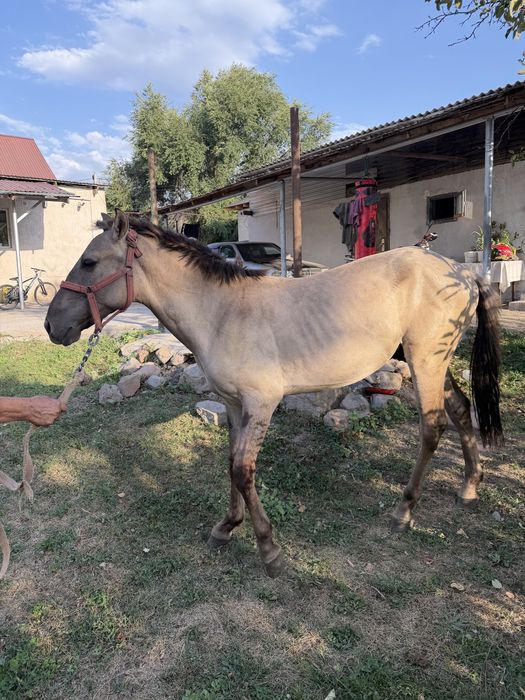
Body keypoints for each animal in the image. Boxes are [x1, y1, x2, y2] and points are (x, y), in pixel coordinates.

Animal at [45, 211, 503, 577]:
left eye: (89, 262)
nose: (52, 326)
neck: (223, 313)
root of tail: (463, 273)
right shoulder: (232, 404)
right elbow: (230, 463)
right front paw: (226, 528)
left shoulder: (262, 404)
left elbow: (242, 471)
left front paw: (269, 550)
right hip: (432, 362)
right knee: (461, 409)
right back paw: (469, 487)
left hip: (426, 361)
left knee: (432, 427)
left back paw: (404, 511)